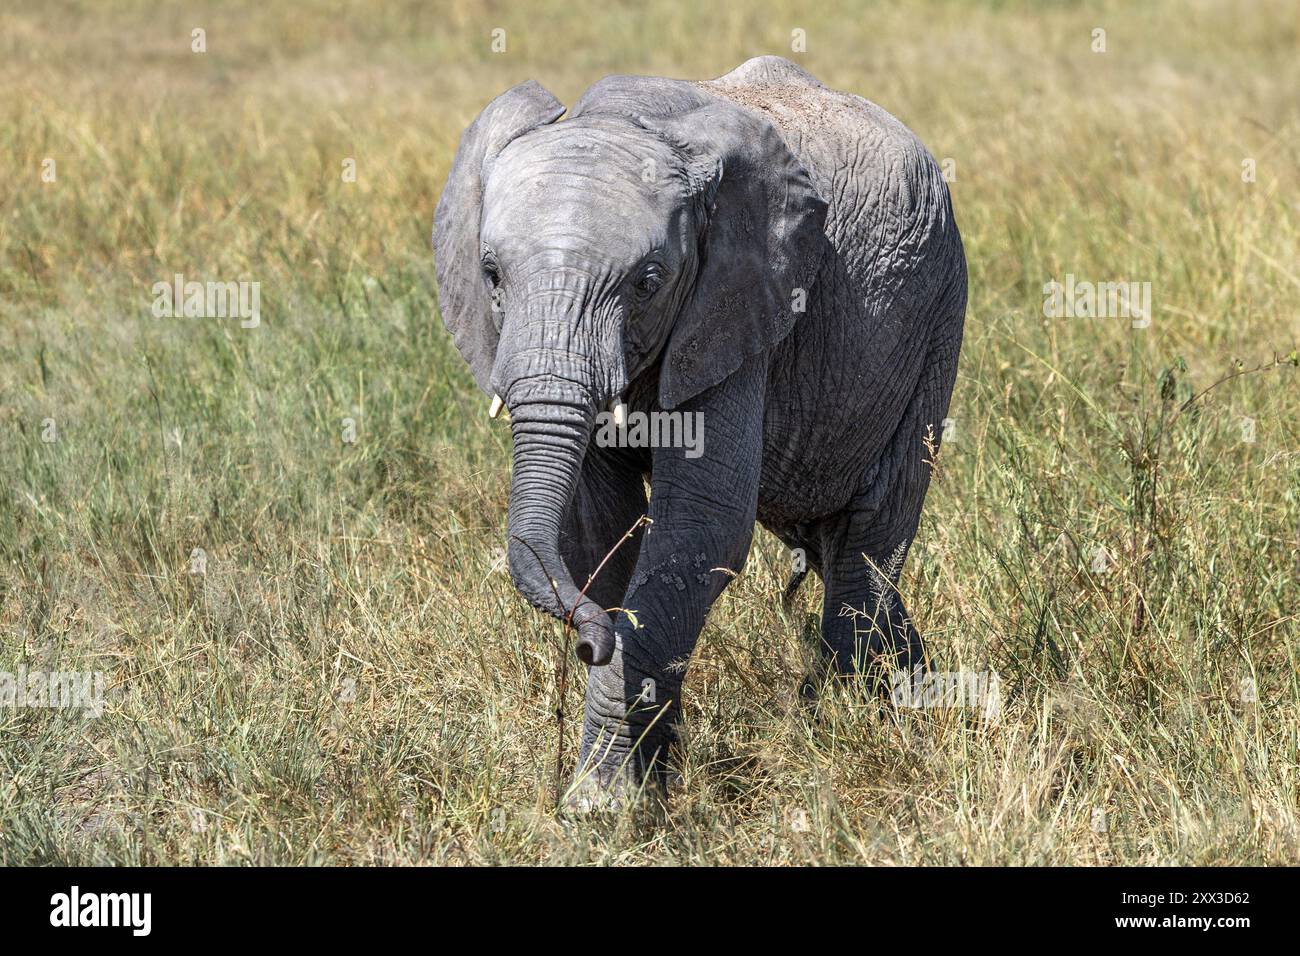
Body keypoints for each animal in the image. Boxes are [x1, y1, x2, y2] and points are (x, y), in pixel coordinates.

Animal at [432, 56, 966, 804]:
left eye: (648, 281)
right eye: (491, 274)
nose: (586, 642)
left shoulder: (741, 305)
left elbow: (701, 528)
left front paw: (601, 804)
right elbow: (598, 532)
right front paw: (638, 773)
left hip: (936, 317)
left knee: (871, 531)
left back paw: (856, 725)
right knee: (836, 545)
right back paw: (917, 690)